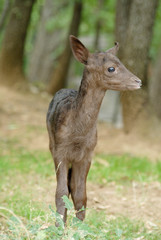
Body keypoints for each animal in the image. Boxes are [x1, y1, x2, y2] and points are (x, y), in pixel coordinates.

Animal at [46, 34, 142, 224]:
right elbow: (61, 192)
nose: (138, 81)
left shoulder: (88, 153)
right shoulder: (60, 150)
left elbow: (80, 193)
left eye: (122, 62)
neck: (77, 133)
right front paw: (59, 226)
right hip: (51, 143)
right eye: (111, 68)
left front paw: (79, 226)